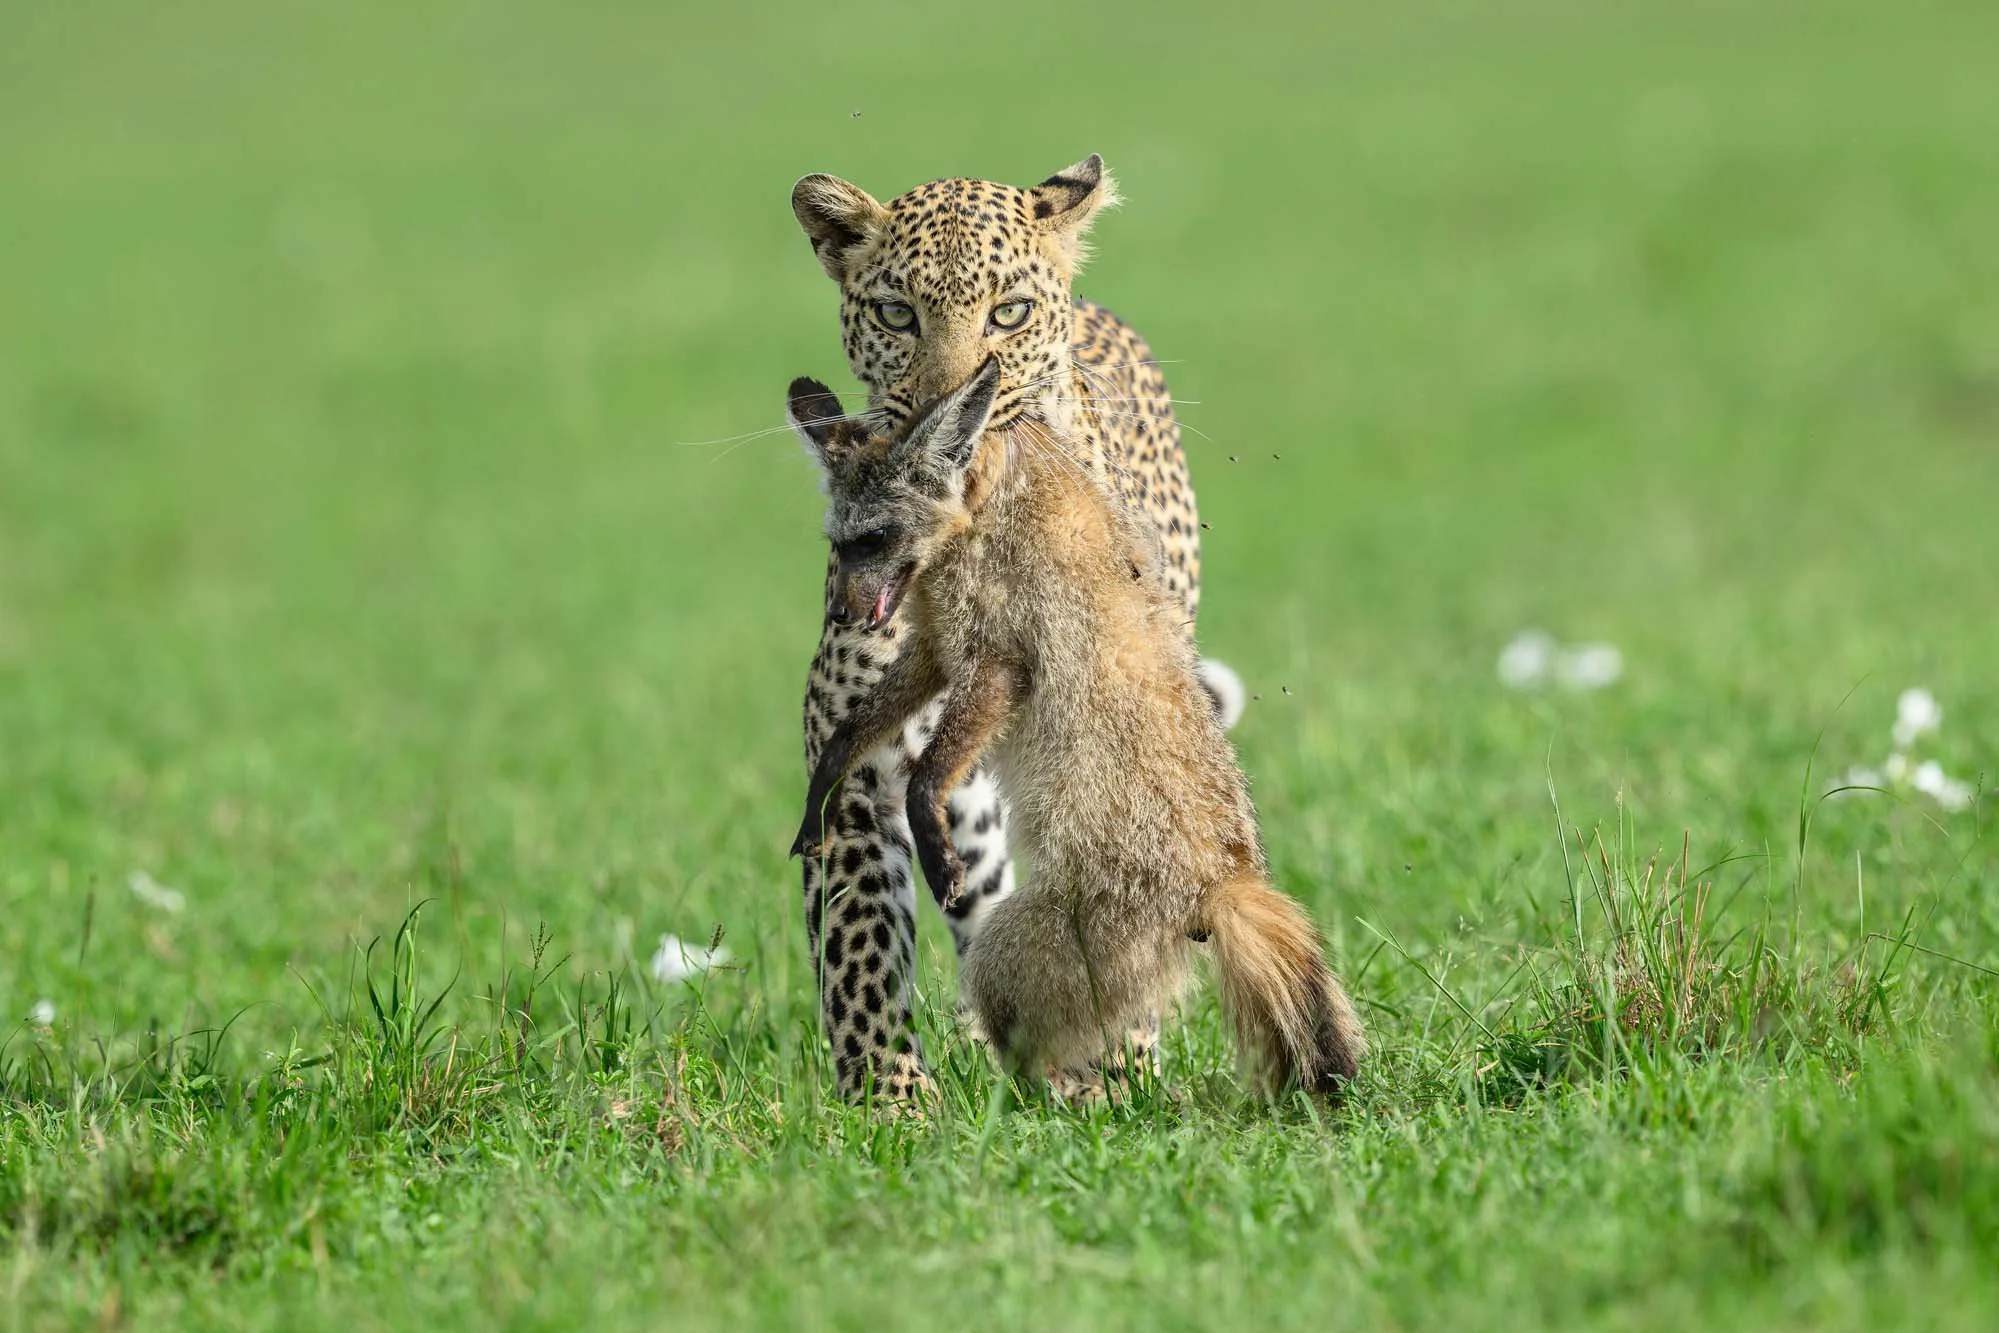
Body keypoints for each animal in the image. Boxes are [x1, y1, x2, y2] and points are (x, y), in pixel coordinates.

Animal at [785, 357, 1366, 1097]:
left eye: (876, 537)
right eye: (839, 542)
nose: (840, 614)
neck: (972, 522)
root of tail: (1225, 884)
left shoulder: (997, 663)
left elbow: (924, 776)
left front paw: (938, 854)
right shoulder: (937, 651)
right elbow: (847, 736)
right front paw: (818, 804)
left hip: (999, 963)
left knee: (1029, 1062)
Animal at [787, 154, 1242, 1102]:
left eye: (1010, 312)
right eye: (896, 313)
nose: (945, 403)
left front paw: (1115, 1070)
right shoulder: (856, 753)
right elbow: (858, 942)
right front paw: (888, 1101)